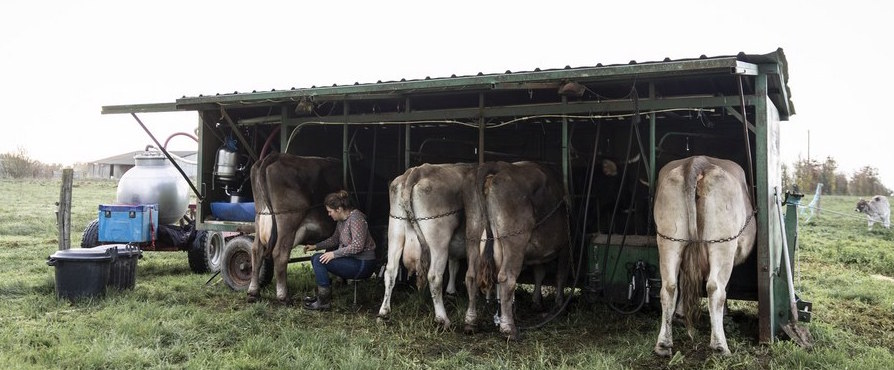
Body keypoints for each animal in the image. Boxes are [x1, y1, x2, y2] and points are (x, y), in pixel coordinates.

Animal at [250, 153, 344, 304]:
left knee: (256, 251)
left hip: (260, 219)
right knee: (280, 254)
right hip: (287, 222)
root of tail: (276, 156)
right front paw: (339, 281)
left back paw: (253, 292)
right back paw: (283, 296)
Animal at [378, 163, 476, 328]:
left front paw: (451, 291)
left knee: (390, 271)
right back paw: (442, 319)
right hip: (438, 239)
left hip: (395, 230)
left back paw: (384, 312)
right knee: (434, 276)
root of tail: (418, 170)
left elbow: (454, 264)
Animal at [466, 160, 572, 340]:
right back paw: (509, 329)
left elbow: (539, 273)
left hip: (473, 235)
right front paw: (559, 306)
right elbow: (560, 275)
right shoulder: (565, 246)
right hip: (514, 242)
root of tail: (498, 166)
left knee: (471, 276)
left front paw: (537, 302)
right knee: (507, 278)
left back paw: (470, 322)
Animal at [652, 155, 756, 356]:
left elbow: (684, 281)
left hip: (669, 239)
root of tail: (697, 161)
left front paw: (680, 314)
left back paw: (663, 344)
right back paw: (720, 345)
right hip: (723, 243)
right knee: (715, 288)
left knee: (669, 287)